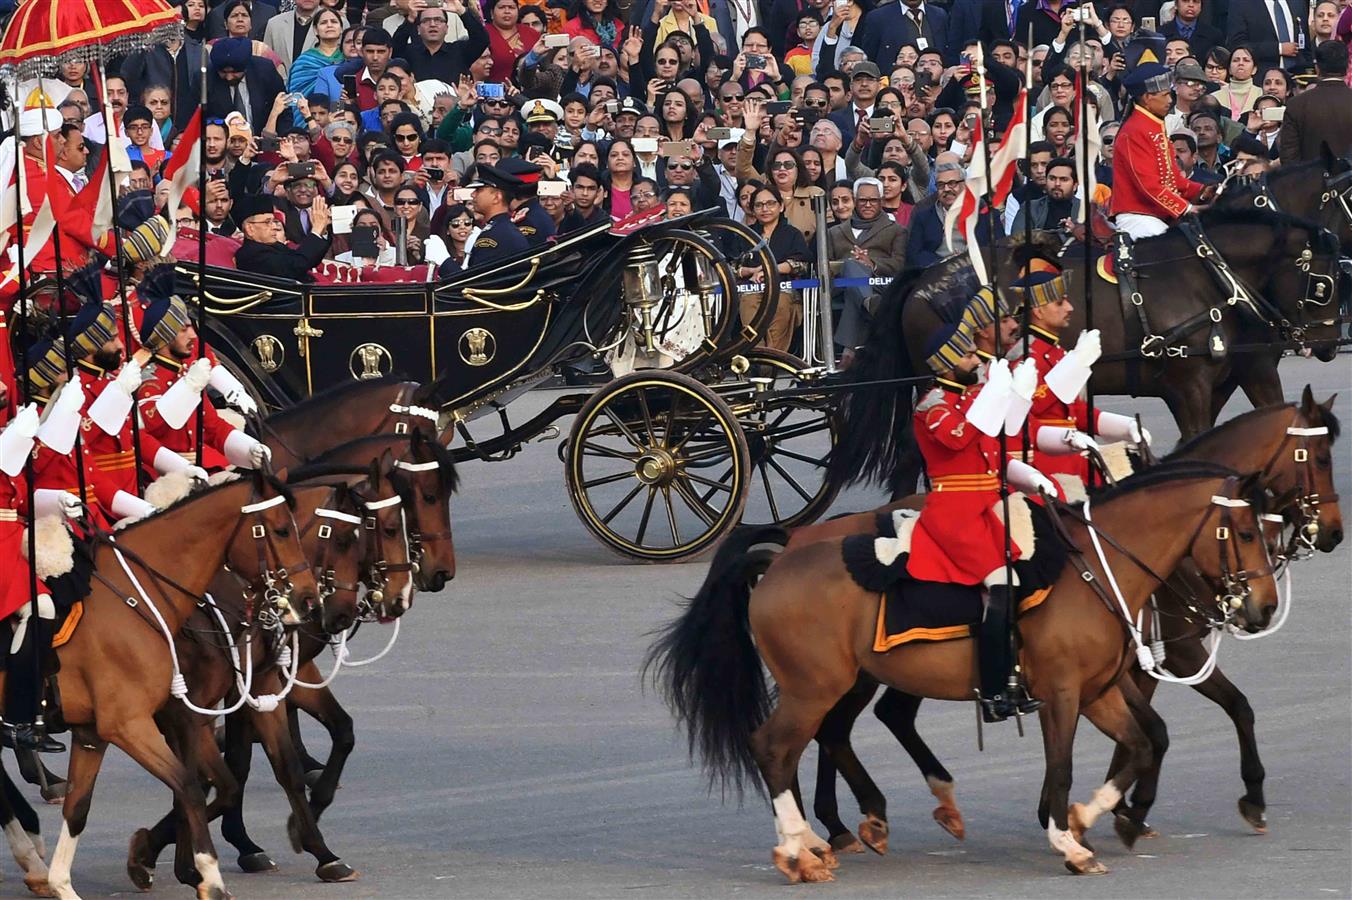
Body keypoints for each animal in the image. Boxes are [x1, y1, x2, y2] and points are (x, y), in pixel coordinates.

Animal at [0, 472, 321, 891]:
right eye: (281, 530)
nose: (309, 600)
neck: (135, 599)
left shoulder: (95, 731)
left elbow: (79, 807)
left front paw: (62, 882)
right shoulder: (133, 725)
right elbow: (189, 786)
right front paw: (207, 876)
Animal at [127, 451, 411, 886]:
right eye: (388, 528)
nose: (400, 598)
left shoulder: (267, 682)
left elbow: (295, 758)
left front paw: (319, 848)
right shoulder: (202, 705)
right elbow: (224, 774)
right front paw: (170, 848)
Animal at [648, 464, 1281, 881]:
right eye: (1247, 533)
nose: (1263, 608)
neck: (1095, 571)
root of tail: (780, 559)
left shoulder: (1098, 692)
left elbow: (1142, 745)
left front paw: (1089, 817)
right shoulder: (1061, 693)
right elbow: (1063, 765)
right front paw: (1068, 840)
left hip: (832, 686)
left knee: (810, 743)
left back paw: (822, 837)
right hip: (815, 688)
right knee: (776, 747)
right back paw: (800, 851)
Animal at [794, 386, 1335, 848]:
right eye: (1321, 458)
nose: (1333, 532)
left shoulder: (1136, 661)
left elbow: (1192, 721)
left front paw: (1110, 810)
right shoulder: (1173, 652)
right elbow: (1175, 726)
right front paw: (1122, 810)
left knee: (859, 722)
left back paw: (847, 821)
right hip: (863, 669)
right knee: (831, 725)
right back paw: (839, 823)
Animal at [827, 208, 1346, 500]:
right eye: (1322, 285)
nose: (1327, 344)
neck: (1207, 277)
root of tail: (922, 276)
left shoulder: (1231, 377)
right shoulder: (1191, 386)